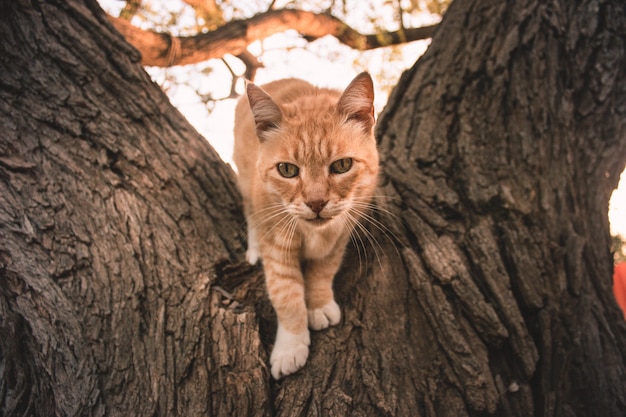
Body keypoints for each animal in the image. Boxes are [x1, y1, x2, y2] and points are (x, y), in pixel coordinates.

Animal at [229, 73, 376, 378]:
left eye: (342, 165)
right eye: (287, 170)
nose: (316, 202)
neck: (315, 233)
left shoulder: (340, 236)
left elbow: (323, 271)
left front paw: (318, 304)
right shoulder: (276, 246)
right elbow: (286, 295)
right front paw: (291, 346)